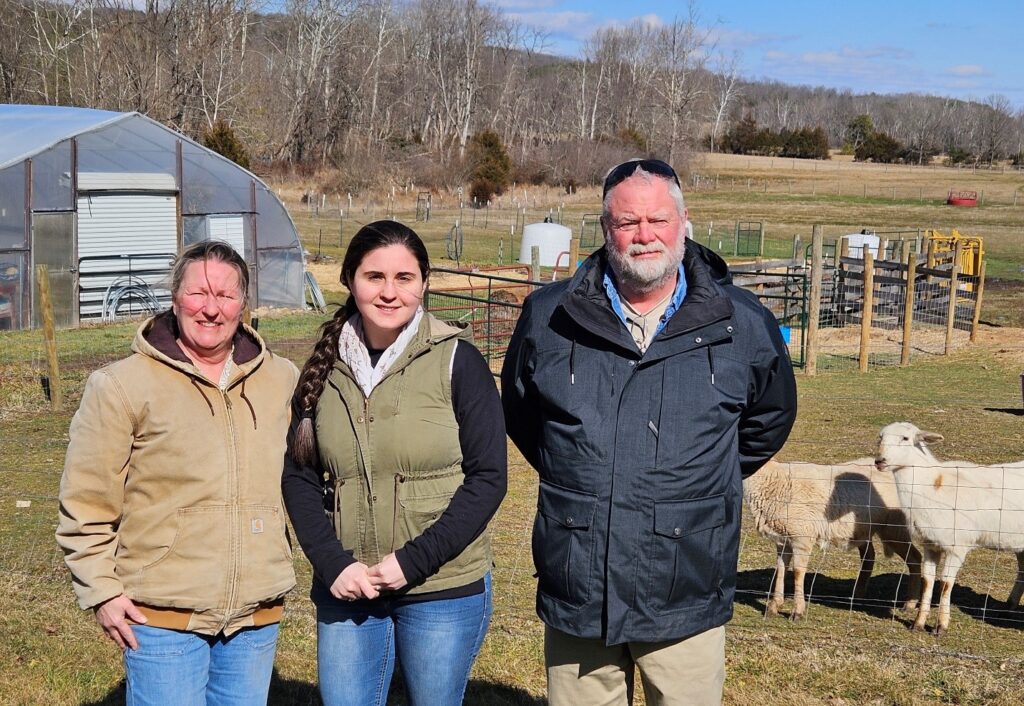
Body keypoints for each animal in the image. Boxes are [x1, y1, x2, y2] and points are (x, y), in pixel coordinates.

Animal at [745, 457, 921, 614]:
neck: (772, 479)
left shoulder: (802, 535)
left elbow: (798, 572)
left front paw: (797, 610)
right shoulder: (783, 539)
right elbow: (781, 569)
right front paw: (774, 606)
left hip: (894, 526)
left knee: (914, 558)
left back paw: (909, 604)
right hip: (865, 529)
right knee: (870, 556)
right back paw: (857, 596)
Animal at [872, 422, 1024, 635]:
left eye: (906, 438)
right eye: (880, 437)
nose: (879, 461)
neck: (932, 486)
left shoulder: (957, 547)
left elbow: (945, 583)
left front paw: (941, 626)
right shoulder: (930, 544)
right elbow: (928, 580)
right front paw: (918, 623)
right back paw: (1009, 606)